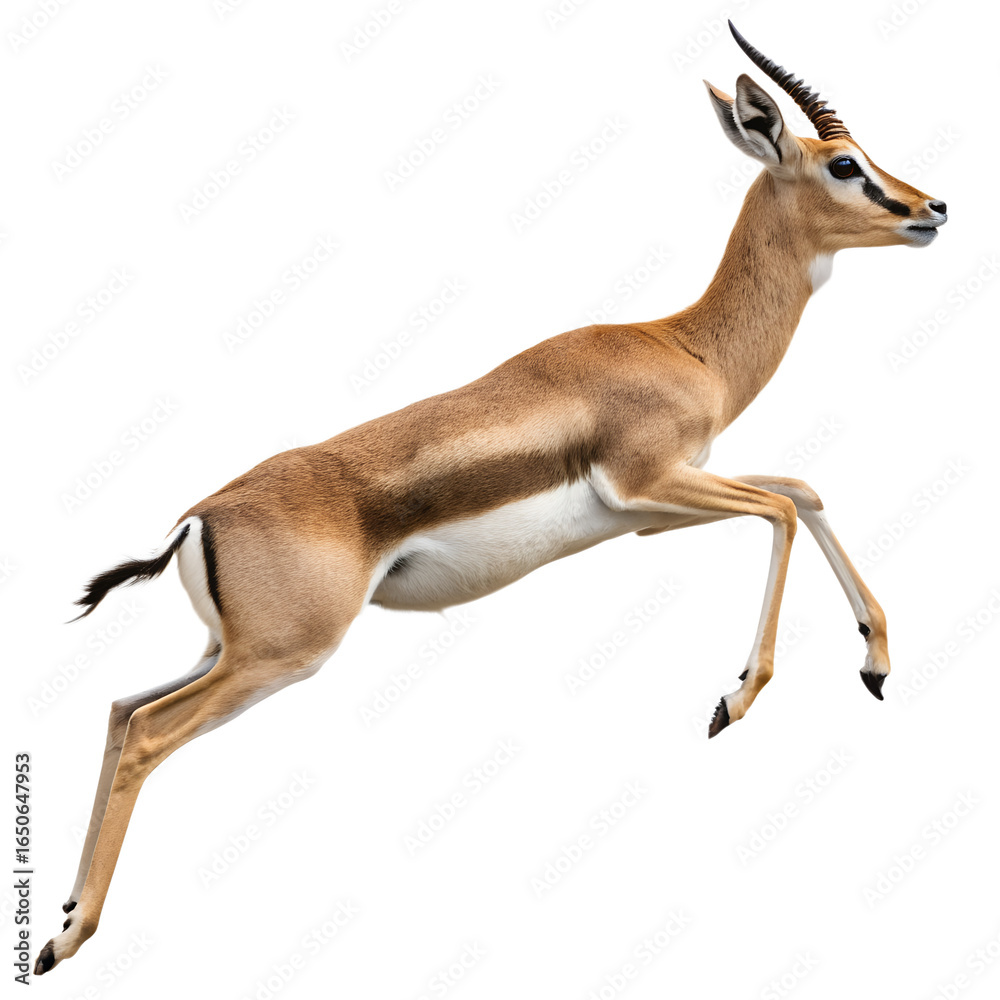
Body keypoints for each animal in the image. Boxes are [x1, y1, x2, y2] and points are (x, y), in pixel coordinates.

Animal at [36, 22, 947, 975]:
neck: (684, 346)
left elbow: (803, 489)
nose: (932, 208)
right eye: (844, 164)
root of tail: (199, 518)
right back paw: (66, 939)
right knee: (147, 733)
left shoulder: (654, 512)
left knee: (118, 709)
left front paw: (876, 662)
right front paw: (731, 702)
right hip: (279, 658)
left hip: (226, 651)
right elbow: (784, 509)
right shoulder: (655, 481)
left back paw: (58, 916)